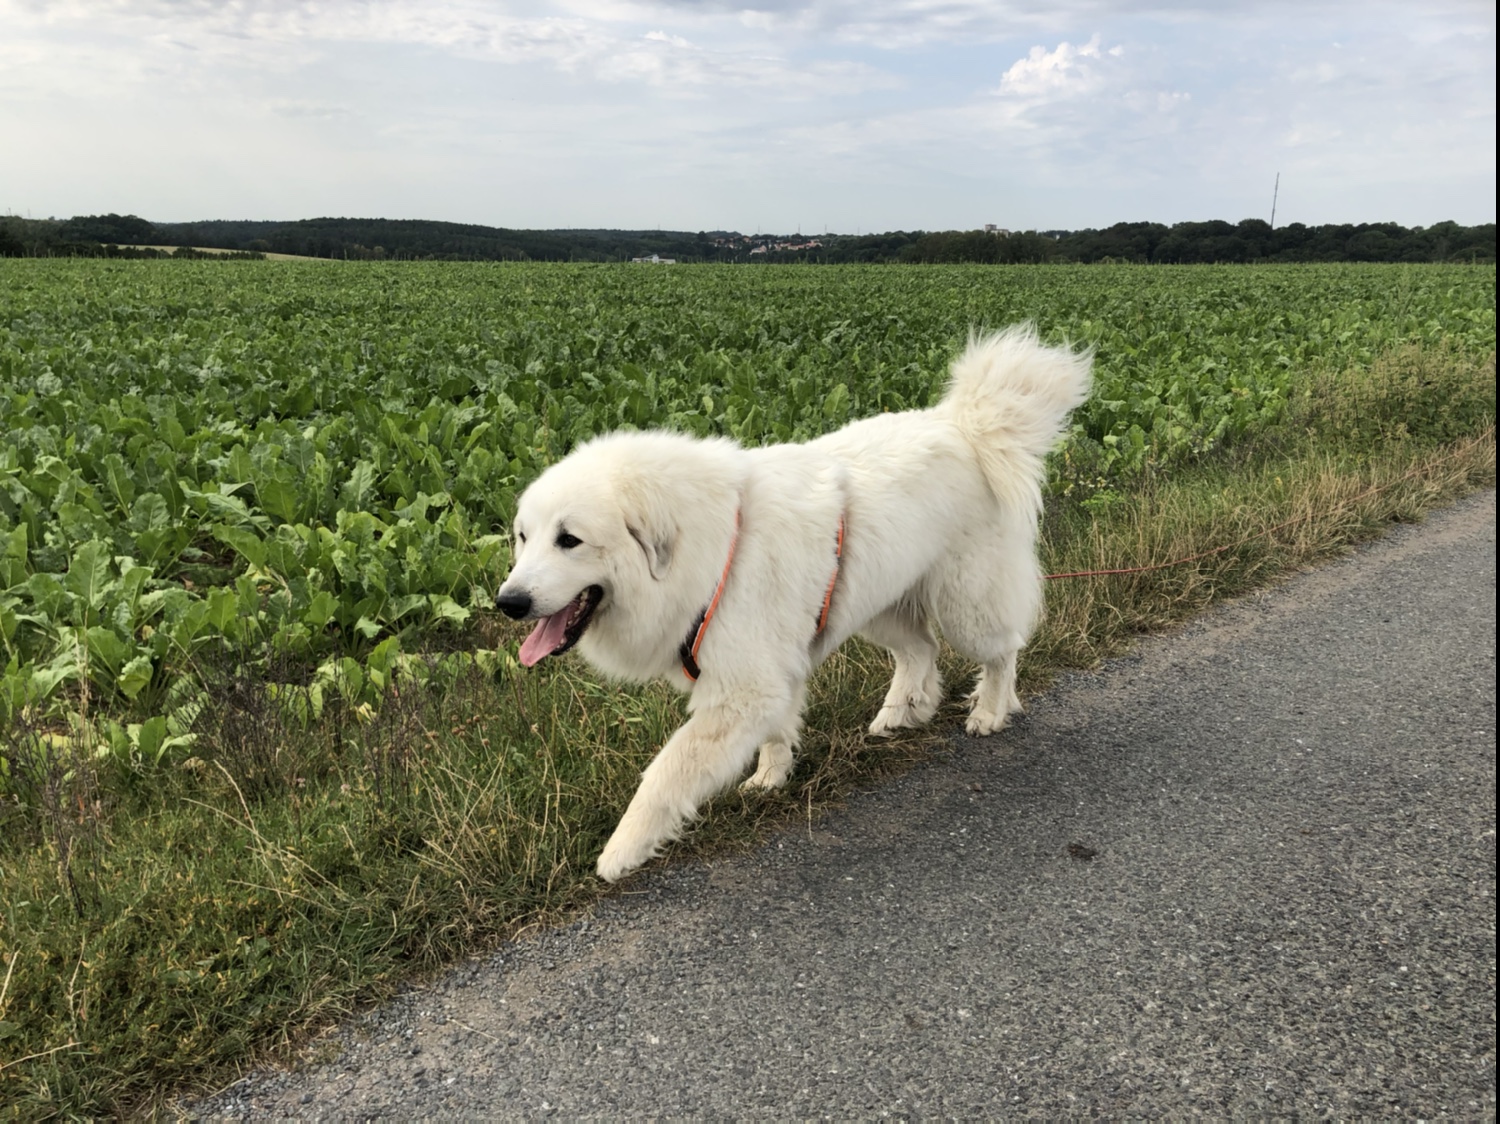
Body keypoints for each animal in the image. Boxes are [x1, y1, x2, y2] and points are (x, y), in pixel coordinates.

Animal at [495, 325, 1092, 882]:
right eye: (524, 537)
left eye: (569, 540)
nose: (508, 602)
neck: (710, 551)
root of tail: (965, 425)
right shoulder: (765, 675)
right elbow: (777, 730)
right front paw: (770, 777)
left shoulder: (740, 691)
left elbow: (667, 772)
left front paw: (621, 851)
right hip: (875, 606)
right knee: (920, 650)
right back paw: (904, 711)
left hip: (966, 604)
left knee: (1001, 652)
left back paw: (989, 710)